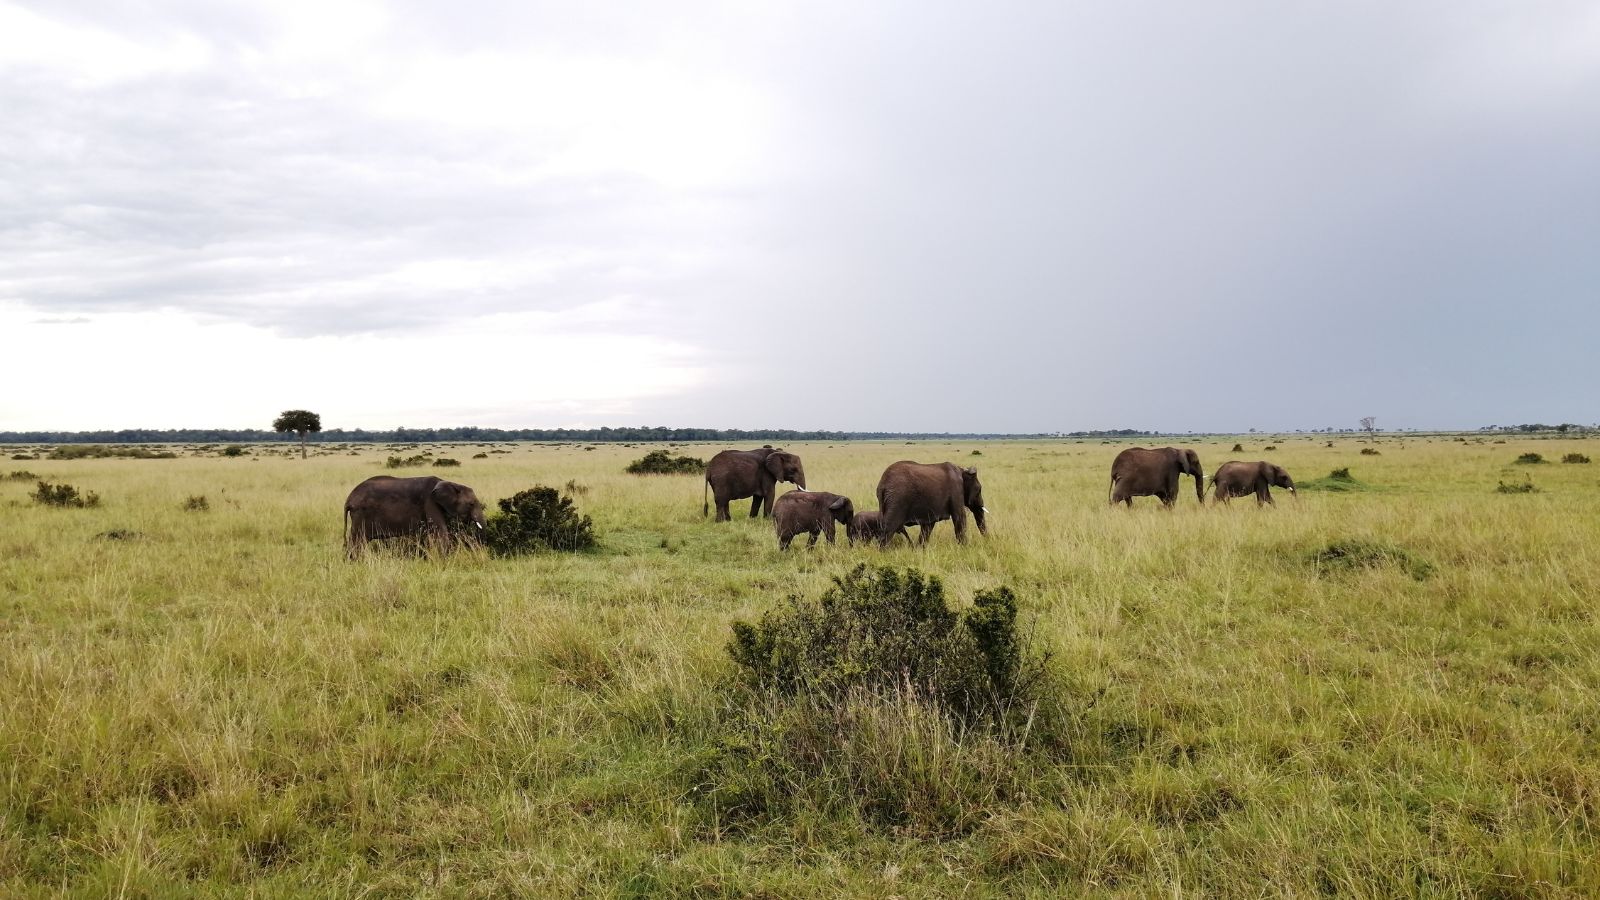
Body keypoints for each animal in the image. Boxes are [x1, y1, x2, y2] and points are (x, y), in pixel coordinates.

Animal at [344, 475, 486, 558]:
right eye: (471, 504)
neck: (450, 483)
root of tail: (349, 498)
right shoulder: (429, 502)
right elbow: (441, 532)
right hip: (360, 514)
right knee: (357, 540)